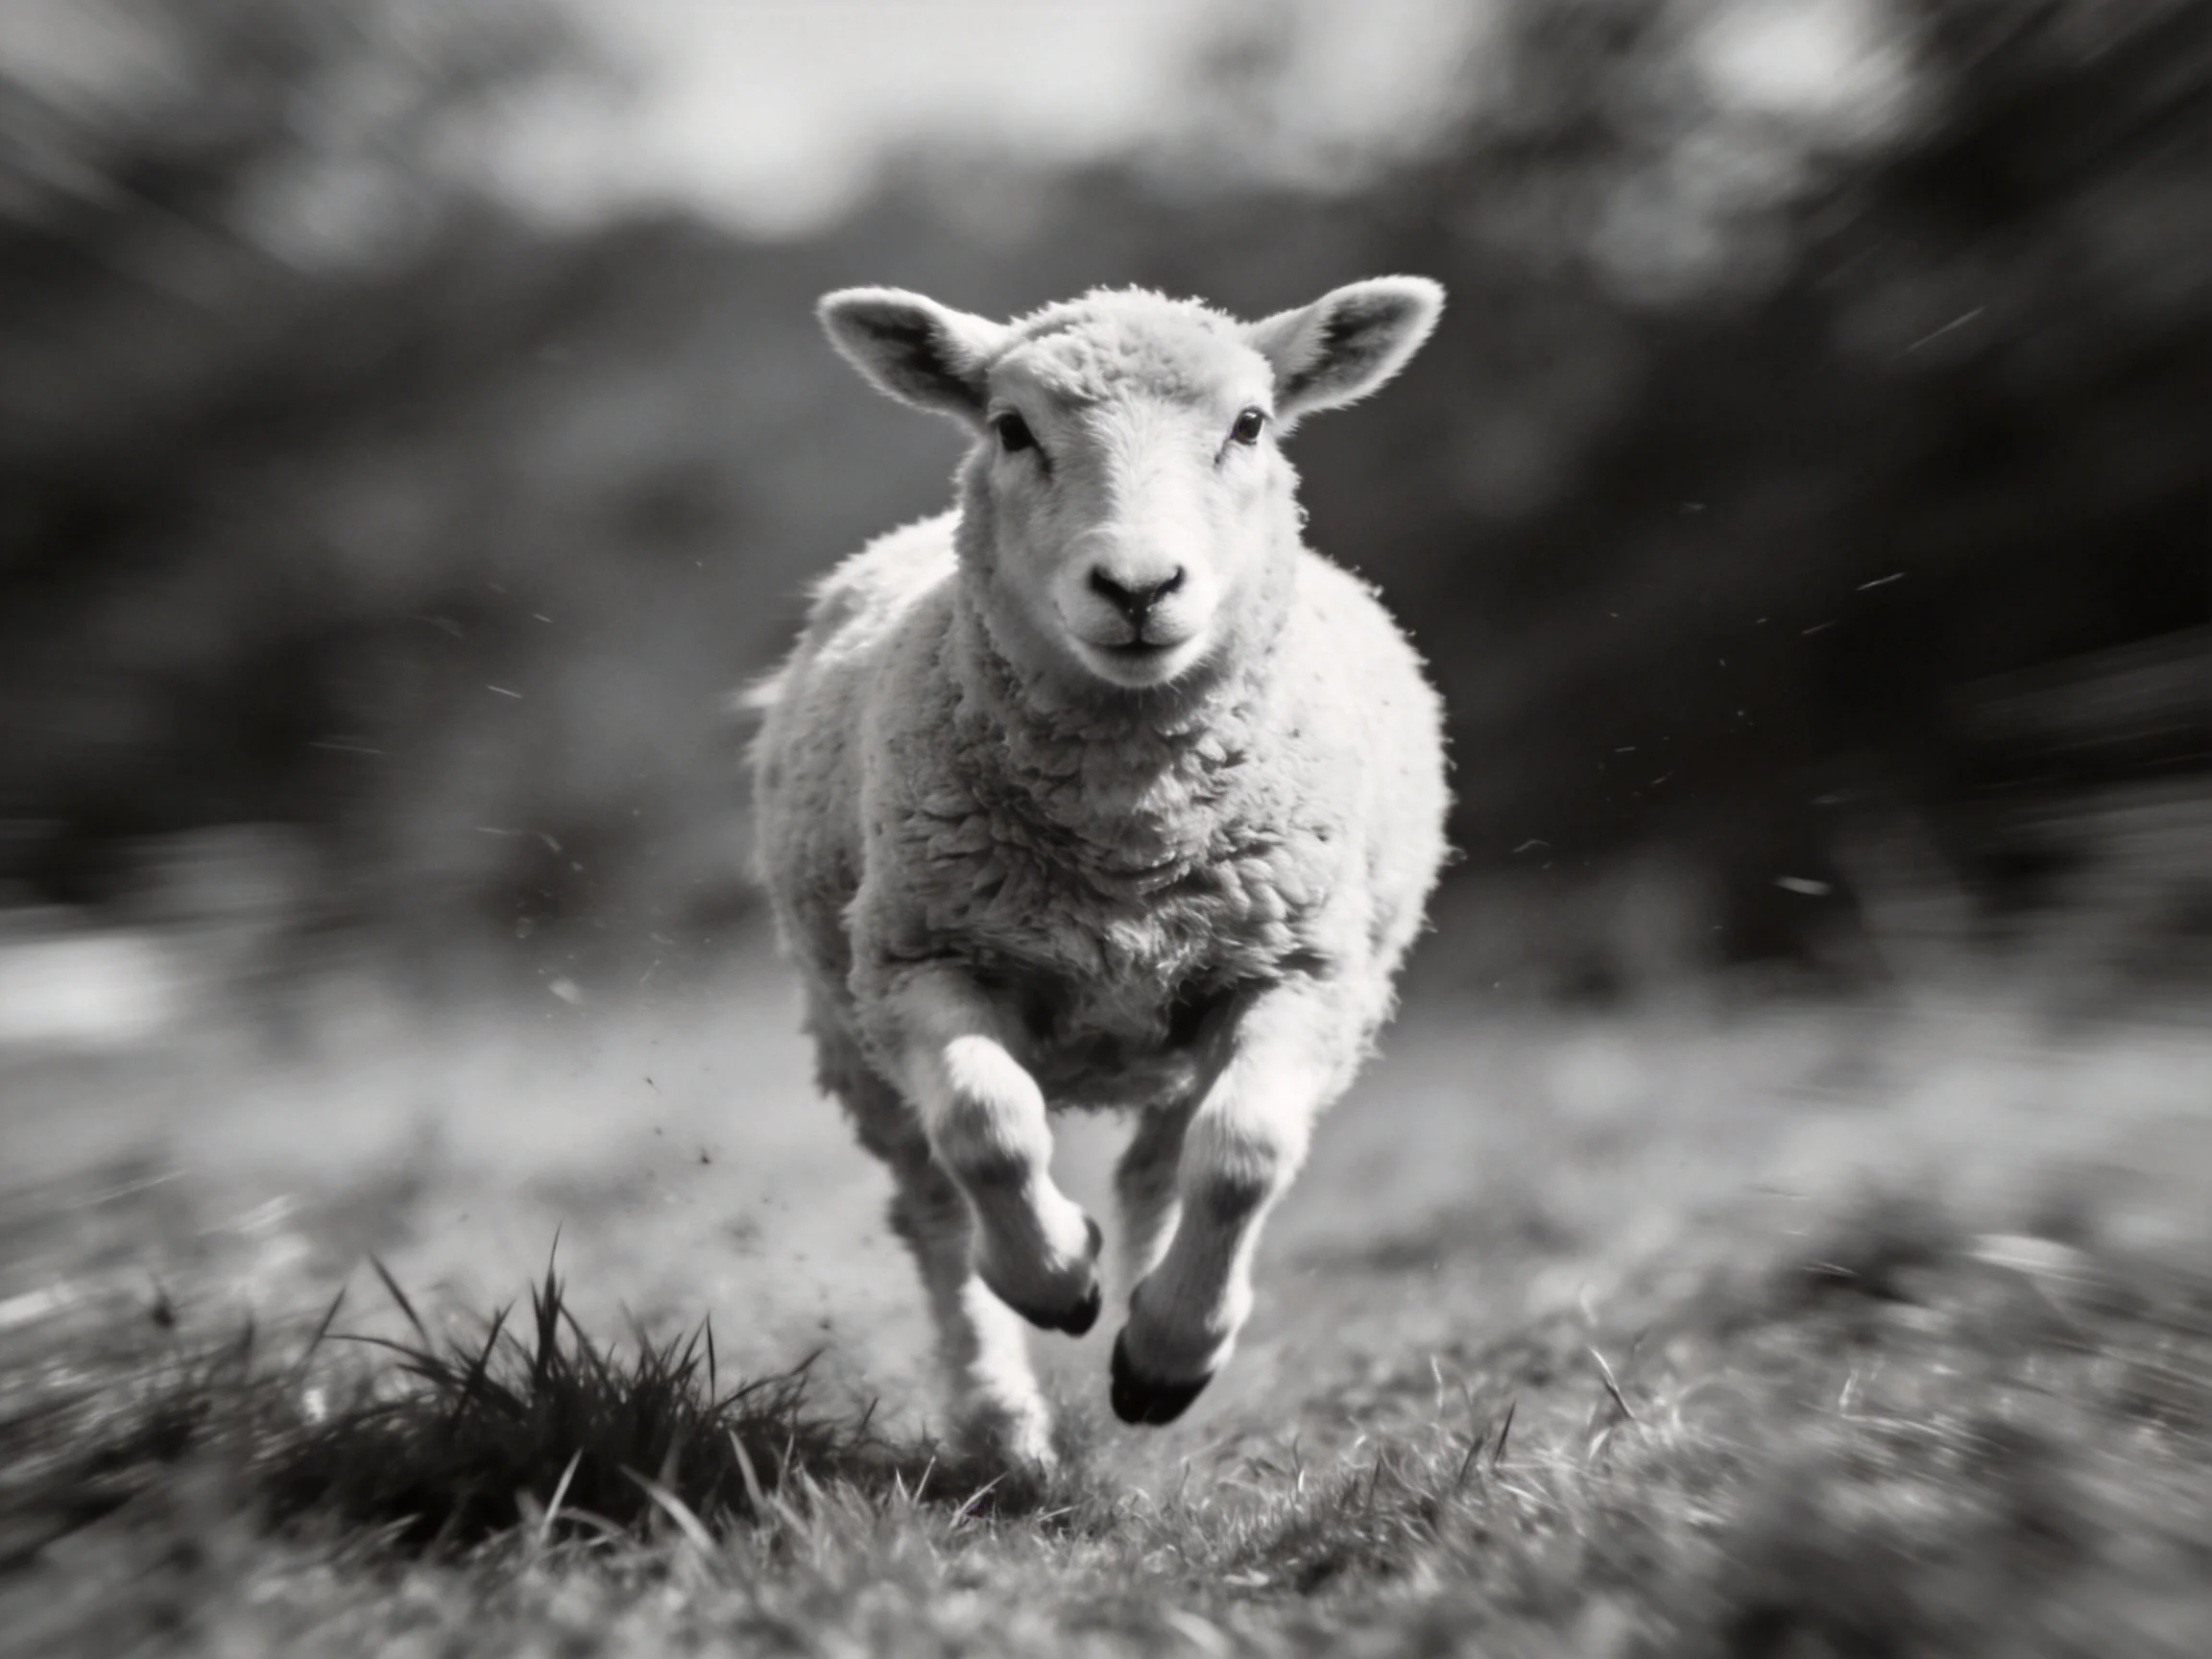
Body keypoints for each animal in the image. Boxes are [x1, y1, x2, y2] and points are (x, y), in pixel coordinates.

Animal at [748, 279, 1450, 1464]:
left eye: (1250, 424)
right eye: (1010, 428)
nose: (1137, 586)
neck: (1129, 836)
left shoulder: (1302, 970)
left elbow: (1245, 1152)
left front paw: (1166, 1355)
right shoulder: (920, 958)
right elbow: (987, 1131)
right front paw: (1054, 1276)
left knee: (1167, 1163)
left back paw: (1152, 1318)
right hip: (849, 1027)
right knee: (934, 1208)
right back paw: (1005, 1429)